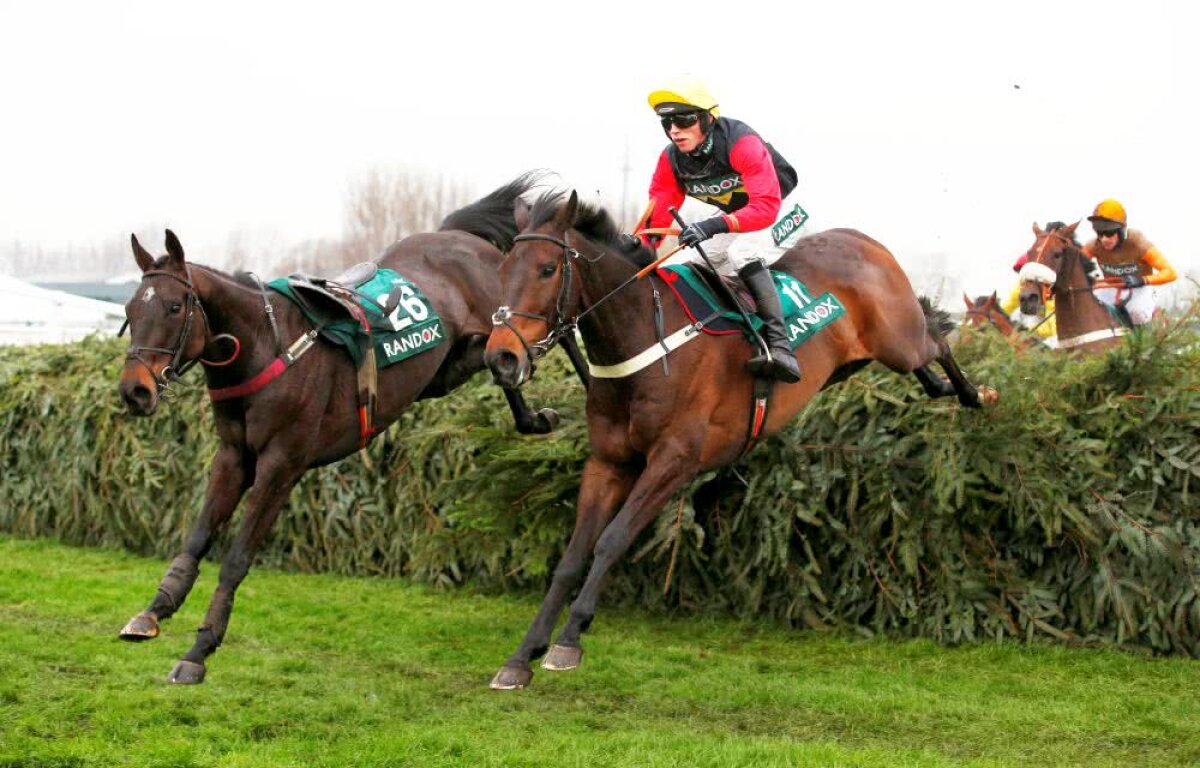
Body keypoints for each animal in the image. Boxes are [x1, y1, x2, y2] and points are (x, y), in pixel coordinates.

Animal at [118, 175, 571, 681]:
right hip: (443, 371)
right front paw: (155, 609)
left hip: (518, 310)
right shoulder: (234, 457)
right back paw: (533, 417)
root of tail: (454, 234)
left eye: (175, 307)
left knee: (551, 333)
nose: (135, 390)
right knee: (496, 360)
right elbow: (197, 538)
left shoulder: (281, 466)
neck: (263, 346)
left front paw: (200, 648)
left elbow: (236, 559)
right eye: (131, 311)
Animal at [477, 190, 993, 691]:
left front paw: (568, 641)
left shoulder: (673, 462)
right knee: (927, 357)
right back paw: (942, 388)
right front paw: (521, 657)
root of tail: (861, 239)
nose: (501, 358)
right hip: (856, 361)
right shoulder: (608, 462)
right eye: (501, 269)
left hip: (899, 342)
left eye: (547, 269)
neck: (645, 341)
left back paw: (975, 392)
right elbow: (572, 556)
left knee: (937, 337)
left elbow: (611, 541)